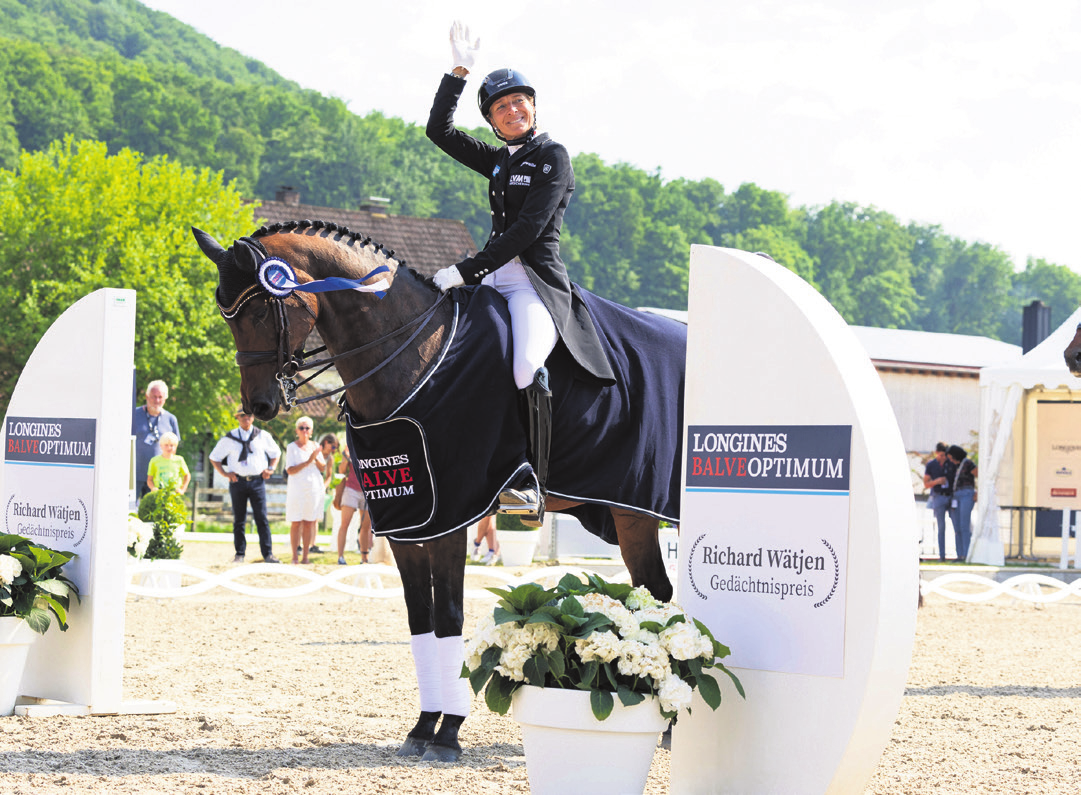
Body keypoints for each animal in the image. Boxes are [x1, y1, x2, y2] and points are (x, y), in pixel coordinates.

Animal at [193, 222, 683, 765]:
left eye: (260, 309)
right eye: (226, 313)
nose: (259, 405)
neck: (411, 351)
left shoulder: (452, 517)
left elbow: (449, 617)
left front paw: (449, 734)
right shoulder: (406, 522)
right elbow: (420, 620)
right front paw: (424, 726)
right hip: (629, 514)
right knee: (655, 590)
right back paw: (665, 720)